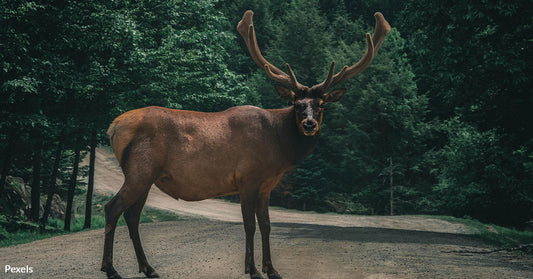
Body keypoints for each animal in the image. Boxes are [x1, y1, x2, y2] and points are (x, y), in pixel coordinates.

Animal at [102, 9, 388, 279]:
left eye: (321, 105)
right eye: (296, 104)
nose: (309, 124)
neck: (279, 149)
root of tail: (113, 127)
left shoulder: (266, 186)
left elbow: (267, 225)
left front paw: (272, 269)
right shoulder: (246, 178)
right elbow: (249, 225)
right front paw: (253, 269)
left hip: (146, 176)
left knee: (132, 215)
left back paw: (148, 268)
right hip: (140, 170)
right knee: (112, 208)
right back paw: (111, 268)